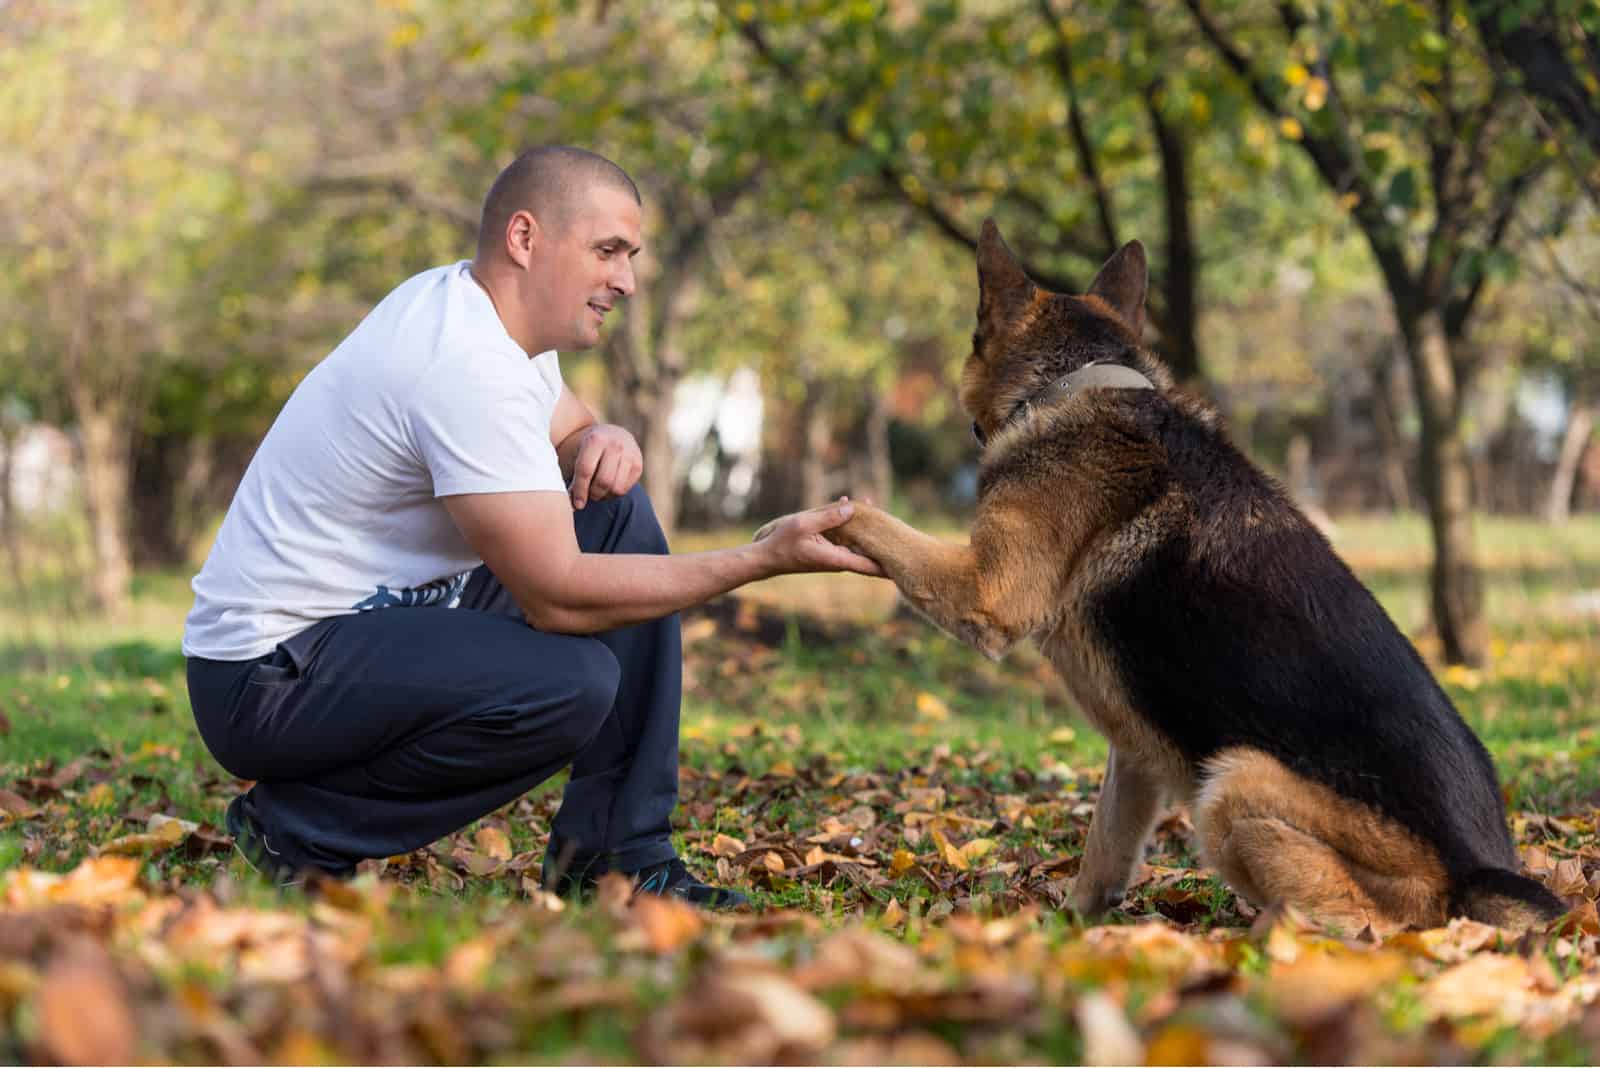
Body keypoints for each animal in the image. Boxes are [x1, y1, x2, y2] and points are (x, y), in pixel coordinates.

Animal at [825, 220, 1561, 927]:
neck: (1079, 380)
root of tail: (1475, 877)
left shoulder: (987, 591)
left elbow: (867, 518)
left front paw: (812, 522)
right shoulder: (1134, 757)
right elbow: (1103, 851)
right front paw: (1068, 934)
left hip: (1234, 781)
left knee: (1357, 924)